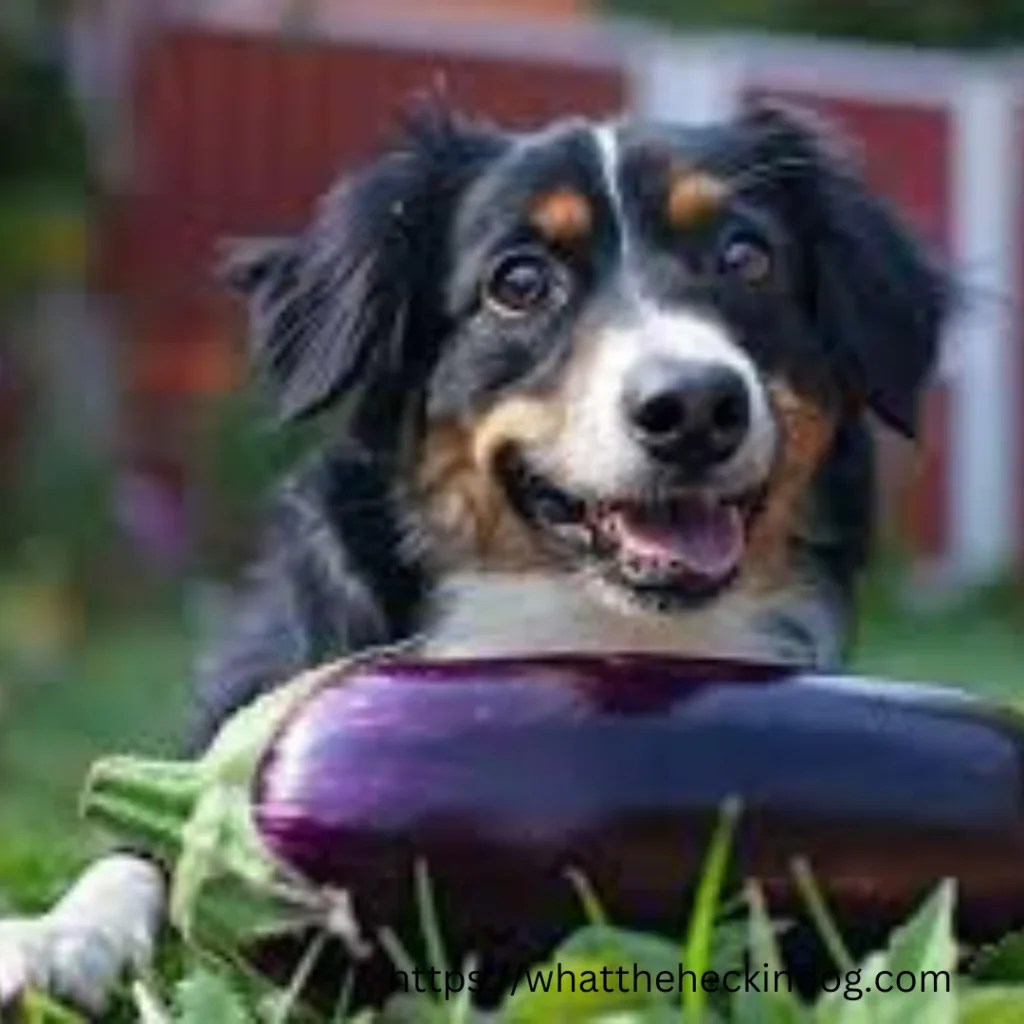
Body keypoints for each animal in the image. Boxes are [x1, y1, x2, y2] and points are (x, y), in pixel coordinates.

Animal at [0, 99, 942, 1011]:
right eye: (518, 282)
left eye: (746, 257)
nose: (696, 407)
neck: (589, 629)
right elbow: (136, 853)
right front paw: (55, 941)